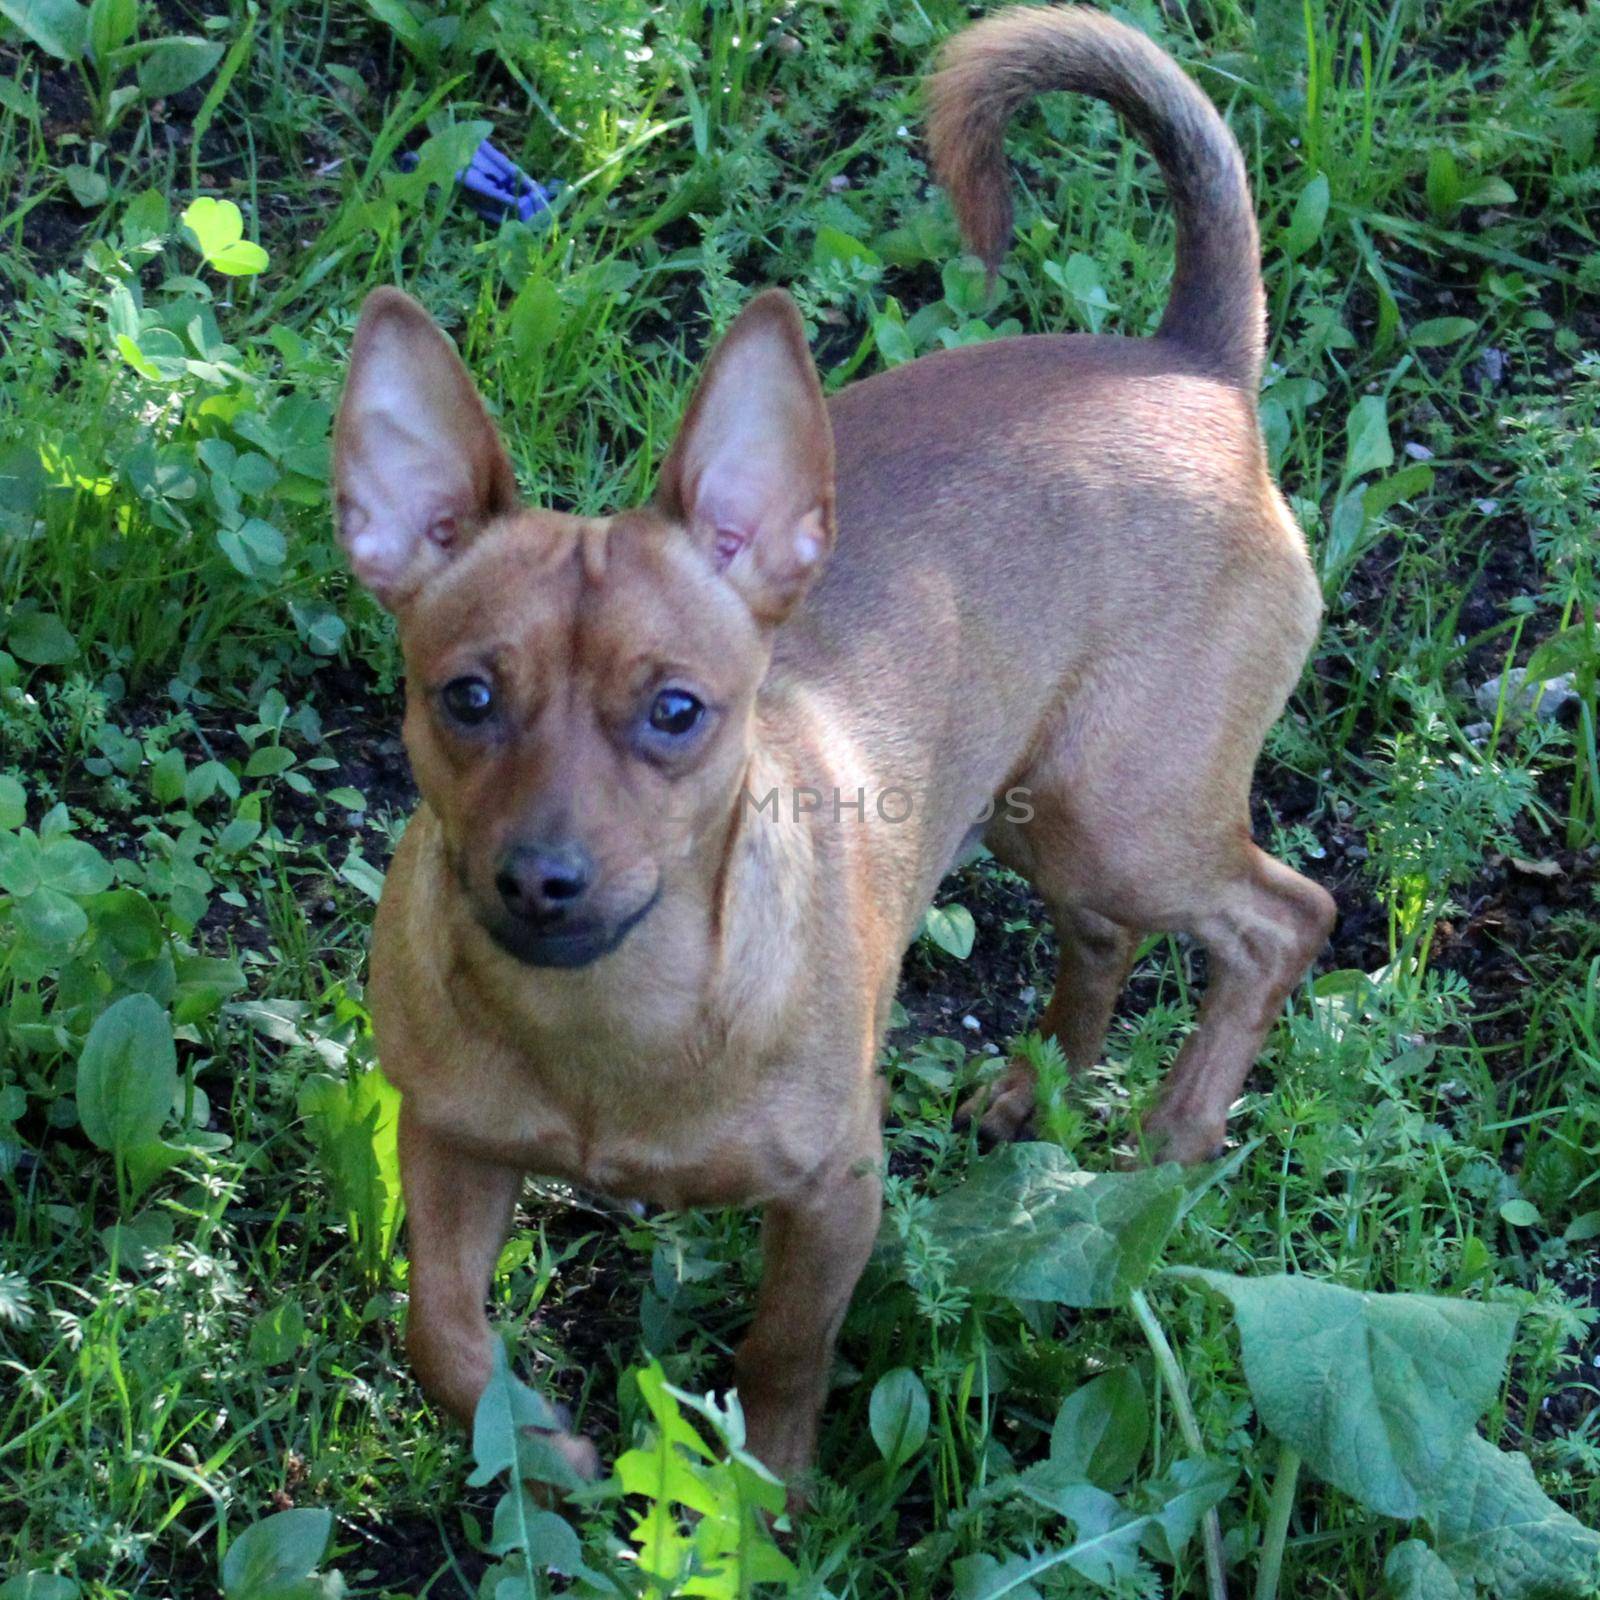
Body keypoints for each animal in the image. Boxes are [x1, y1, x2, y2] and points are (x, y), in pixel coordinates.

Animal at [334, 6, 1337, 1491]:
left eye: (676, 711)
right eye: (465, 698)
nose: (541, 879)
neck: (609, 1026)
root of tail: (1194, 366)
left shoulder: (832, 1201)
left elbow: (781, 1357)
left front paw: (772, 1494)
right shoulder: (450, 1144)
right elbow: (443, 1337)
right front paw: (545, 1454)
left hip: (1128, 817)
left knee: (1281, 920)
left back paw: (1169, 1140)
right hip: (1044, 811)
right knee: (1105, 939)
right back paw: (1037, 1091)